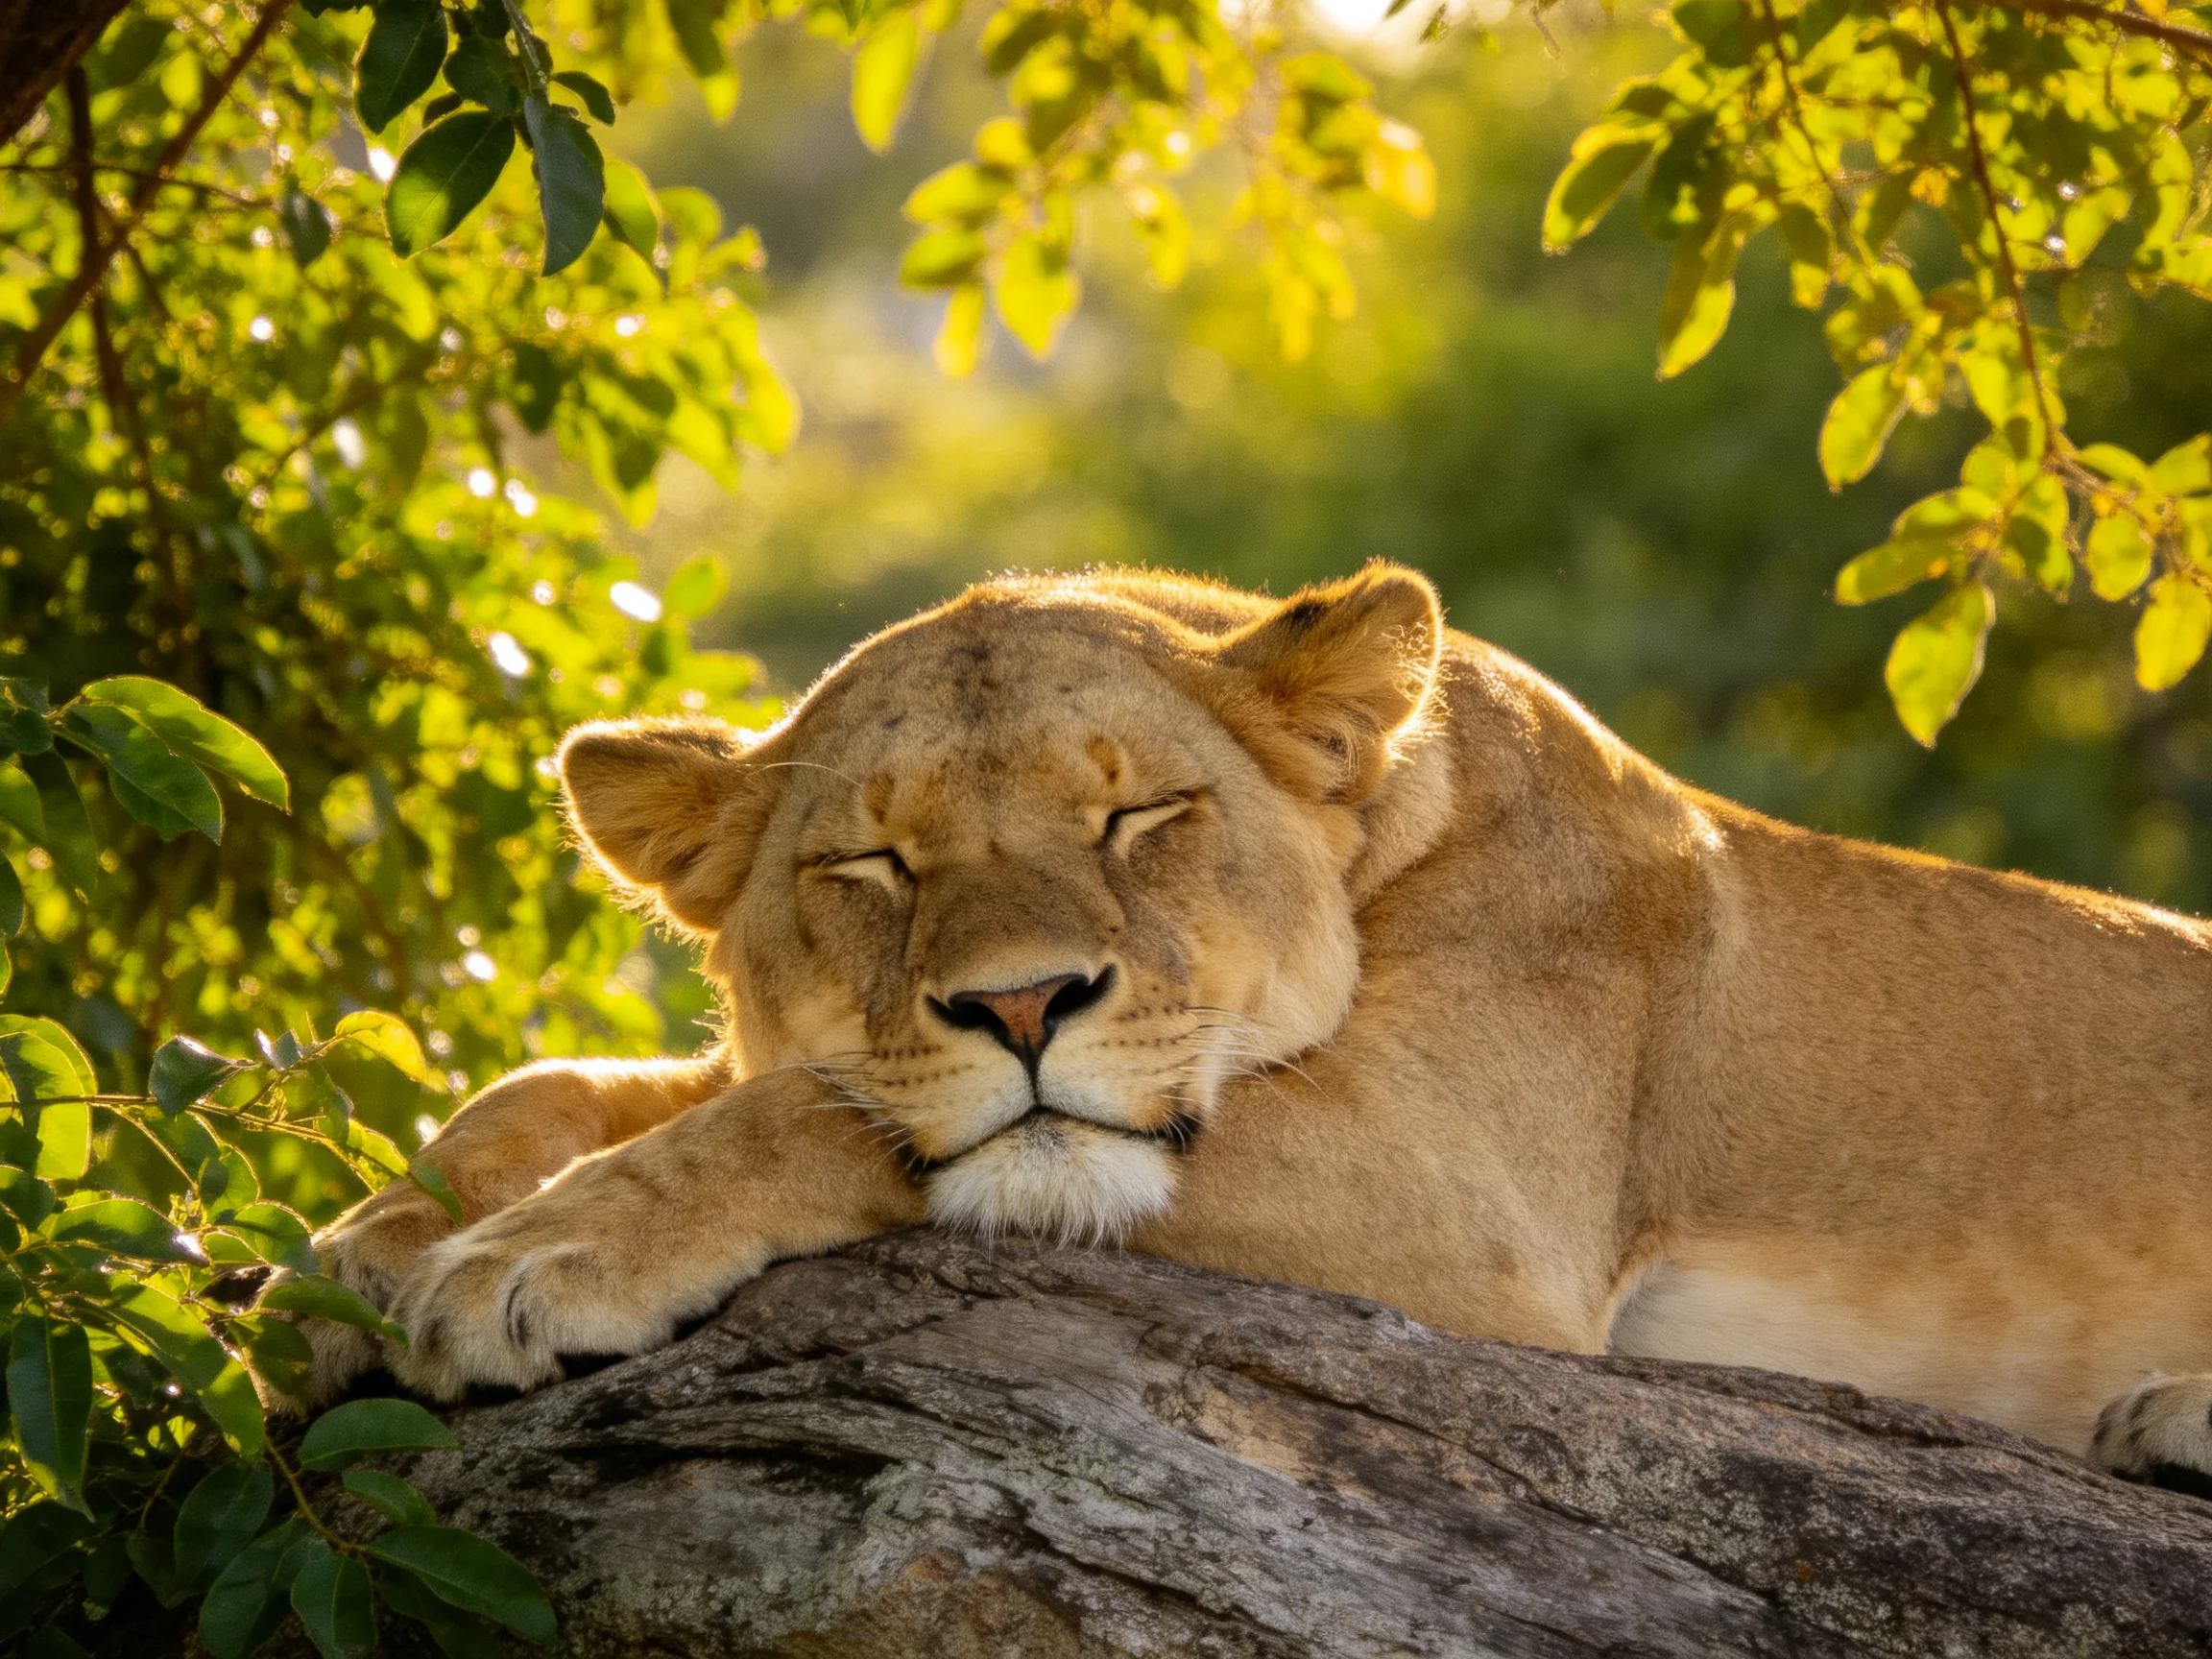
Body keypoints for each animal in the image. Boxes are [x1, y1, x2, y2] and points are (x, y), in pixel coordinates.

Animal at [285, 563, 2212, 1485]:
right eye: (873, 858)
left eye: (1137, 818)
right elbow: (558, 1083)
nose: (1019, 1002)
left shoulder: (1469, 1198)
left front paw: (529, 1266)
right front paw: (345, 1260)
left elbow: (804, 1118)